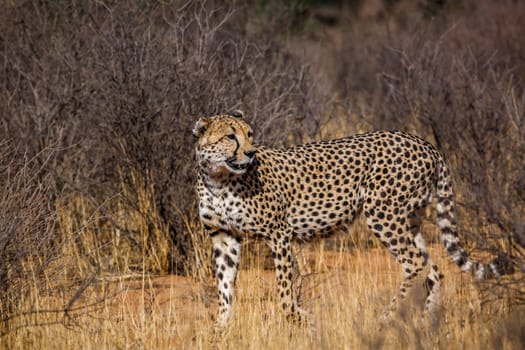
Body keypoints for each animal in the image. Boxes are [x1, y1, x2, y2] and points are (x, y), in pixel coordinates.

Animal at [192, 110, 512, 328]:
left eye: (249, 134)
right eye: (230, 136)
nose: (250, 152)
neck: (218, 179)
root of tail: (423, 142)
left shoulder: (278, 233)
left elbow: (283, 288)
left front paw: (296, 319)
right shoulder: (223, 236)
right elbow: (224, 285)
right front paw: (219, 328)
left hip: (383, 213)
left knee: (415, 263)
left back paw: (388, 316)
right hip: (409, 218)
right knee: (433, 267)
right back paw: (427, 321)